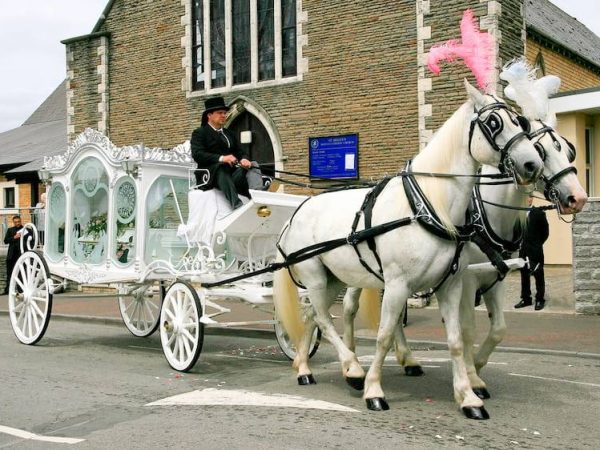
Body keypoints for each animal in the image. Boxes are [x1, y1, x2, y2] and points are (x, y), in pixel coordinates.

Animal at [276, 81, 544, 418]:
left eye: (519, 121)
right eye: (494, 122)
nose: (532, 164)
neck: (428, 206)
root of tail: (297, 211)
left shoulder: (451, 285)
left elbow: (456, 339)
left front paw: (468, 396)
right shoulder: (397, 284)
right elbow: (384, 335)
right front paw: (374, 390)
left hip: (333, 277)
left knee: (313, 314)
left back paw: (305, 368)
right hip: (313, 275)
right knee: (323, 318)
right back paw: (352, 368)